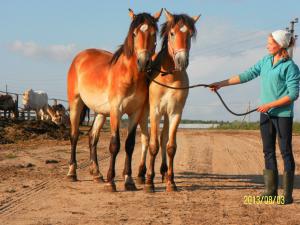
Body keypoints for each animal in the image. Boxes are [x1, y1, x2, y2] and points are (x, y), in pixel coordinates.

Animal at [66, 8, 162, 192]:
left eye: (154, 33)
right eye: (134, 33)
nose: (143, 62)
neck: (129, 75)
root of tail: (80, 57)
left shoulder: (135, 112)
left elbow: (129, 145)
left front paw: (129, 180)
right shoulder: (116, 110)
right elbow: (115, 145)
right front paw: (111, 181)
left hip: (101, 112)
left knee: (92, 137)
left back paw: (97, 174)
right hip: (76, 104)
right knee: (74, 135)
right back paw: (72, 173)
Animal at [142, 8, 199, 192]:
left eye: (189, 34)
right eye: (172, 33)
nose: (182, 61)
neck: (168, 77)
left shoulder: (175, 113)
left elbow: (170, 146)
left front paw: (171, 181)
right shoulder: (155, 112)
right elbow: (153, 145)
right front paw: (149, 182)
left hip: (167, 116)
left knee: (163, 138)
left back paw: (163, 171)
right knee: (145, 140)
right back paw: (142, 173)